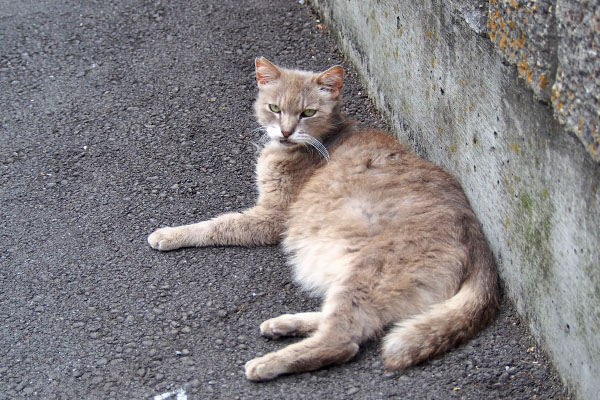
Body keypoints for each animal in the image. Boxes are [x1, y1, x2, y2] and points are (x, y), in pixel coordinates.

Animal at [148, 56, 500, 382]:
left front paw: (170, 234)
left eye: (307, 113)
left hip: (366, 274)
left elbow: (216, 224)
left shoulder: (270, 216)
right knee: (358, 321)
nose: (286, 131)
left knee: (342, 340)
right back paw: (285, 324)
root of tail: (480, 244)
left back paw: (269, 362)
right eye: (274, 108)